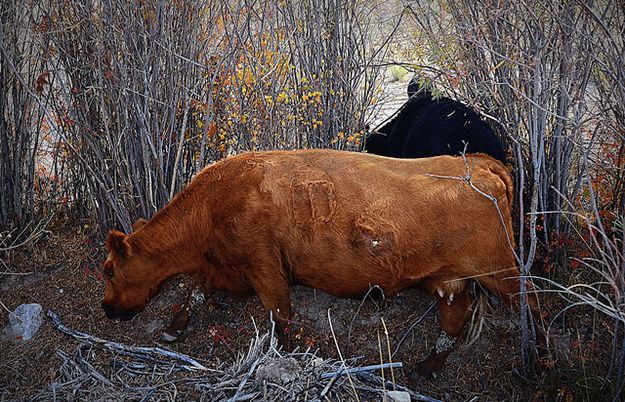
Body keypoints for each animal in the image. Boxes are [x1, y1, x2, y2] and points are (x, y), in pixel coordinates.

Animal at [101, 149, 540, 376]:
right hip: (450, 281)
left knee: (533, 304)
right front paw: (173, 329)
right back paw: (426, 367)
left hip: (502, 271)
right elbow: (194, 293)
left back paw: (540, 364)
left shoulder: (265, 269)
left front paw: (279, 360)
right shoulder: (228, 270)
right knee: (454, 319)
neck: (212, 204)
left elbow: (280, 317)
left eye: (108, 269)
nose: (107, 308)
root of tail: (480, 162)